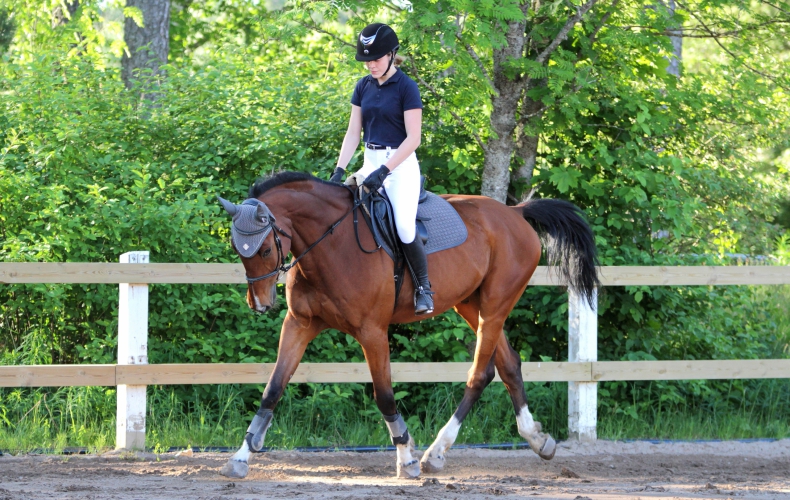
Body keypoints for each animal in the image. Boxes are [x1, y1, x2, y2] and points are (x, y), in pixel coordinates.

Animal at [217, 172, 600, 480]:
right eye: (238, 248)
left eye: (265, 250)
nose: (259, 304)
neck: (331, 243)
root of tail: (515, 212)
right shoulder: (299, 324)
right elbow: (273, 389)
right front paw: (241, 457)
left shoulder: (372, 331)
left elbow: (385, 395)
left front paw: (407, 457)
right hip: (472, 304)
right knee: (507, 365)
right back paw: (537, 439)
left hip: (495, 305)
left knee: (480, 373)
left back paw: (436, 452)